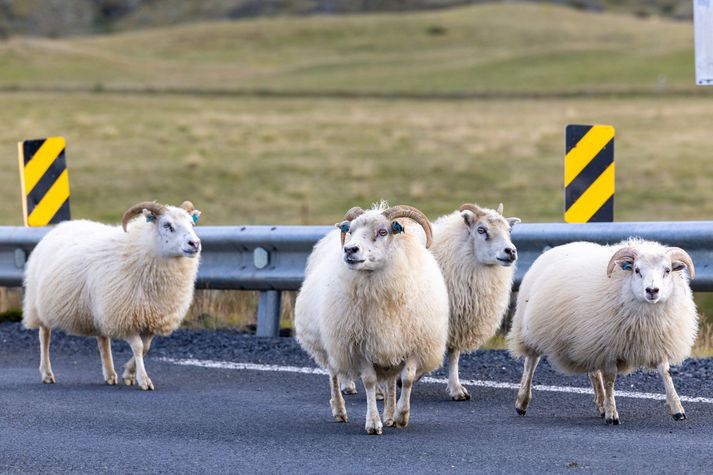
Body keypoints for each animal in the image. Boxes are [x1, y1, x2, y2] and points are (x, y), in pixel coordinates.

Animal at [23, 201, 200, 390]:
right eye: (167, 225)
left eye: (192, 223)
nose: (195, 243)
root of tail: (59, 227)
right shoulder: (124, 315)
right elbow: (138, 347)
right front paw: (143, 379)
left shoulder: (152, 317)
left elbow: (146, 347)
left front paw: (129, 373)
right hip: (39, 304)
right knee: (44, 337)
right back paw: (47, 374)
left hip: (99, 308)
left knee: (103, 340)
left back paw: (109, 374)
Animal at [294, 204, 448, 436]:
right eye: (350, 230)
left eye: (383, 231)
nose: (349, 250)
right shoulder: (358, 346)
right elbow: (369, 381)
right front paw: (374, 423)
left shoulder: (413, 342)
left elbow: (407, 379)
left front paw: (400, 416)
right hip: (331, 342)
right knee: (333, 374)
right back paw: (339, 410)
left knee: (391, 382)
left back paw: (390, 415)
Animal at [432, 203, 520, 400]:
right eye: (481, 230)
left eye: (508, 230)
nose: (511, 251)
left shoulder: (458, 320)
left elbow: (454, 354)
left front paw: (456, 389)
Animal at [508, 240, 700, 426]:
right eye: (637, 270)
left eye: (667, 270)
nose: (652, 290)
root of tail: (553, 249)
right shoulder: (609, 347)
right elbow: (609, 380)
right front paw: (612, 414)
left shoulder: (656, 342)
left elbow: (665, 372)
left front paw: (677, 410)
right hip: (531, 328)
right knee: (531, 362)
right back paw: (522, 402)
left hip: (588, 340)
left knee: (593, 371)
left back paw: (601, 404)